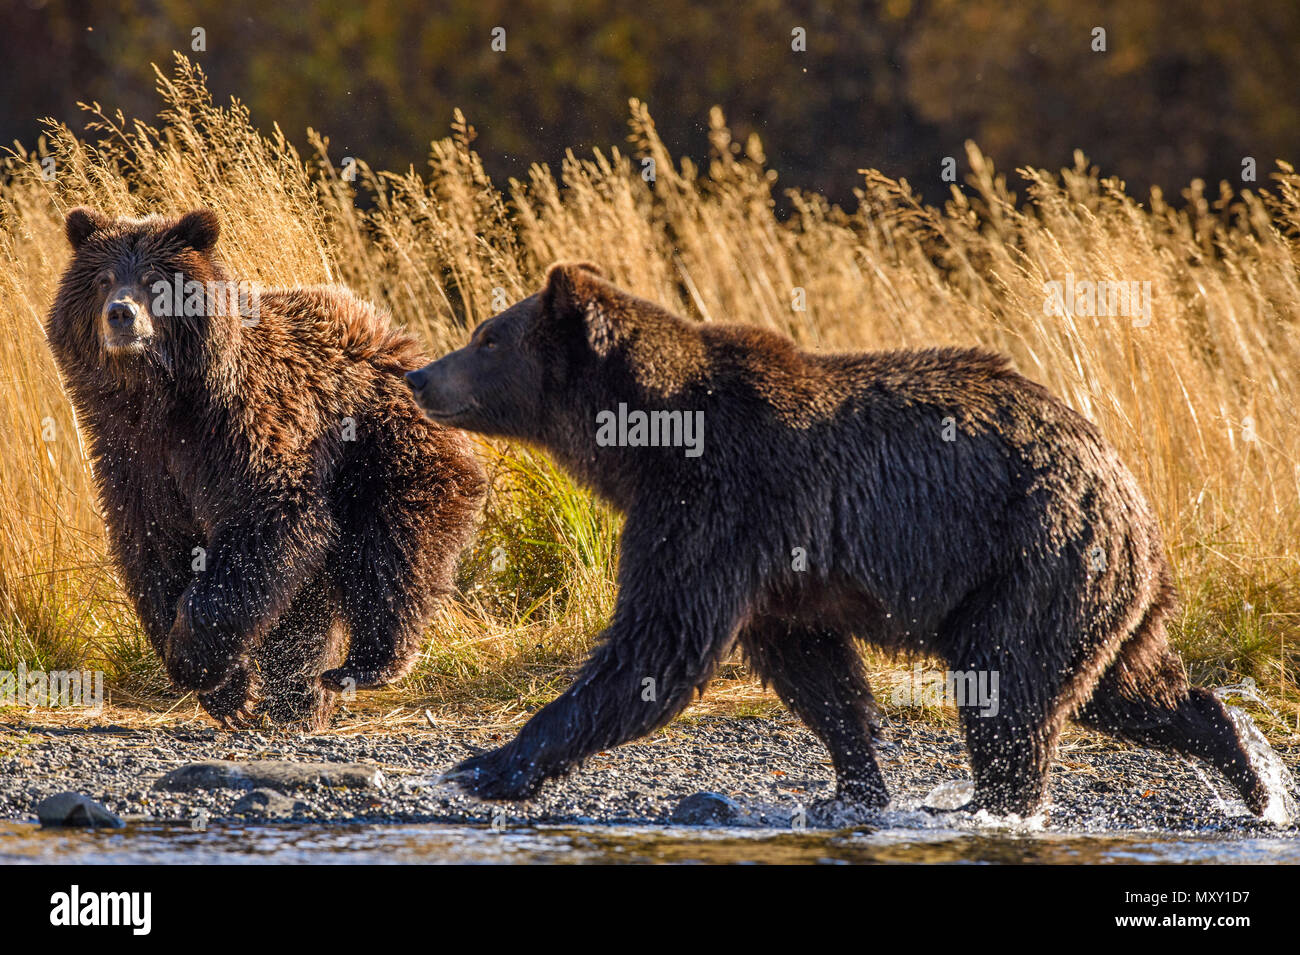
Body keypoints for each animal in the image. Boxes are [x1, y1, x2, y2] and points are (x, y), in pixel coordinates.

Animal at [45, 209, 486, 727]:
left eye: (155, 280)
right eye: (103, 279)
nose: (120, 314)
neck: (158, 400)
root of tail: (394, 334)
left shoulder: (243, 432)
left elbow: (266, 524)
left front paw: (199, 661)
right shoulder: (132, 458)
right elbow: (155, 550)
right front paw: (231, 691)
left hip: (384, 446)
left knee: (392, 552)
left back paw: (362, 665)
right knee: (309, 599)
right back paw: (296, 700)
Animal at [410, 263, 1274, 821]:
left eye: (486, 337)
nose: (420, 375)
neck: (646, 444)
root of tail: (1127, 487)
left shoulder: (722, 503)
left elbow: (658, 646)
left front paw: (484, 764)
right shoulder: (774, 562)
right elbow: (814, 668)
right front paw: (853, 783)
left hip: (1034, 555)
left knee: (1011, 684)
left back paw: (995, 802)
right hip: (1098, 587)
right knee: (1131, 686)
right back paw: (1251, 773)